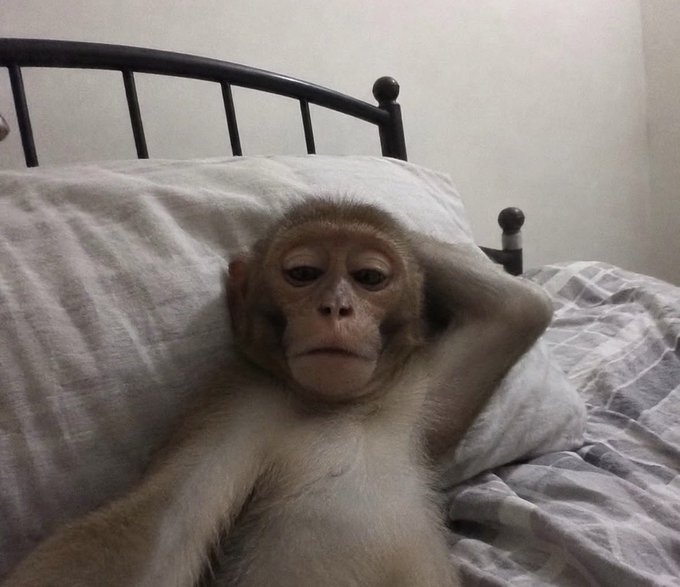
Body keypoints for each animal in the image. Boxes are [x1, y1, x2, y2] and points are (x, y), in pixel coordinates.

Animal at [2, 199, 553, 587]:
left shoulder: (416, 389)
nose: (336, 307)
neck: (333, 406)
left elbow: (520, 308)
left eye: (369, 277)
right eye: (304, 273)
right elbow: (156, 534)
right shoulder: (236, 403)